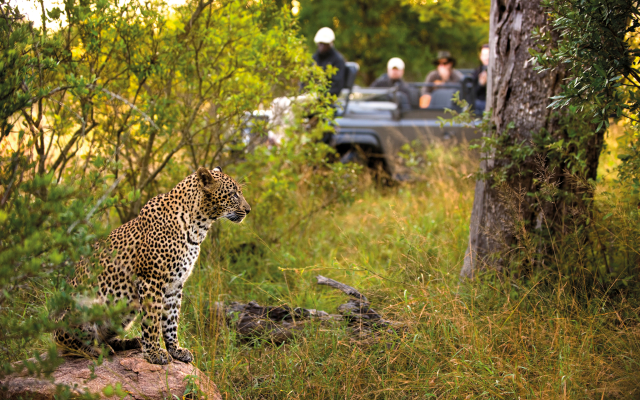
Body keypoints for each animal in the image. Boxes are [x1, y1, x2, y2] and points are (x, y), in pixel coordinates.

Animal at [53, 166, 250, 362]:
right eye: (233, 194)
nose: (248, 210)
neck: (197, 228)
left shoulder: (175, 285)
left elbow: (171, 320)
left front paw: (175, 350)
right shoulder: (152, 280)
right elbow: (152, 320)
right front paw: (154, 353)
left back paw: (129, 342)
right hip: (82, 308)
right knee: (67, 342)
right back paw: (96, 350)